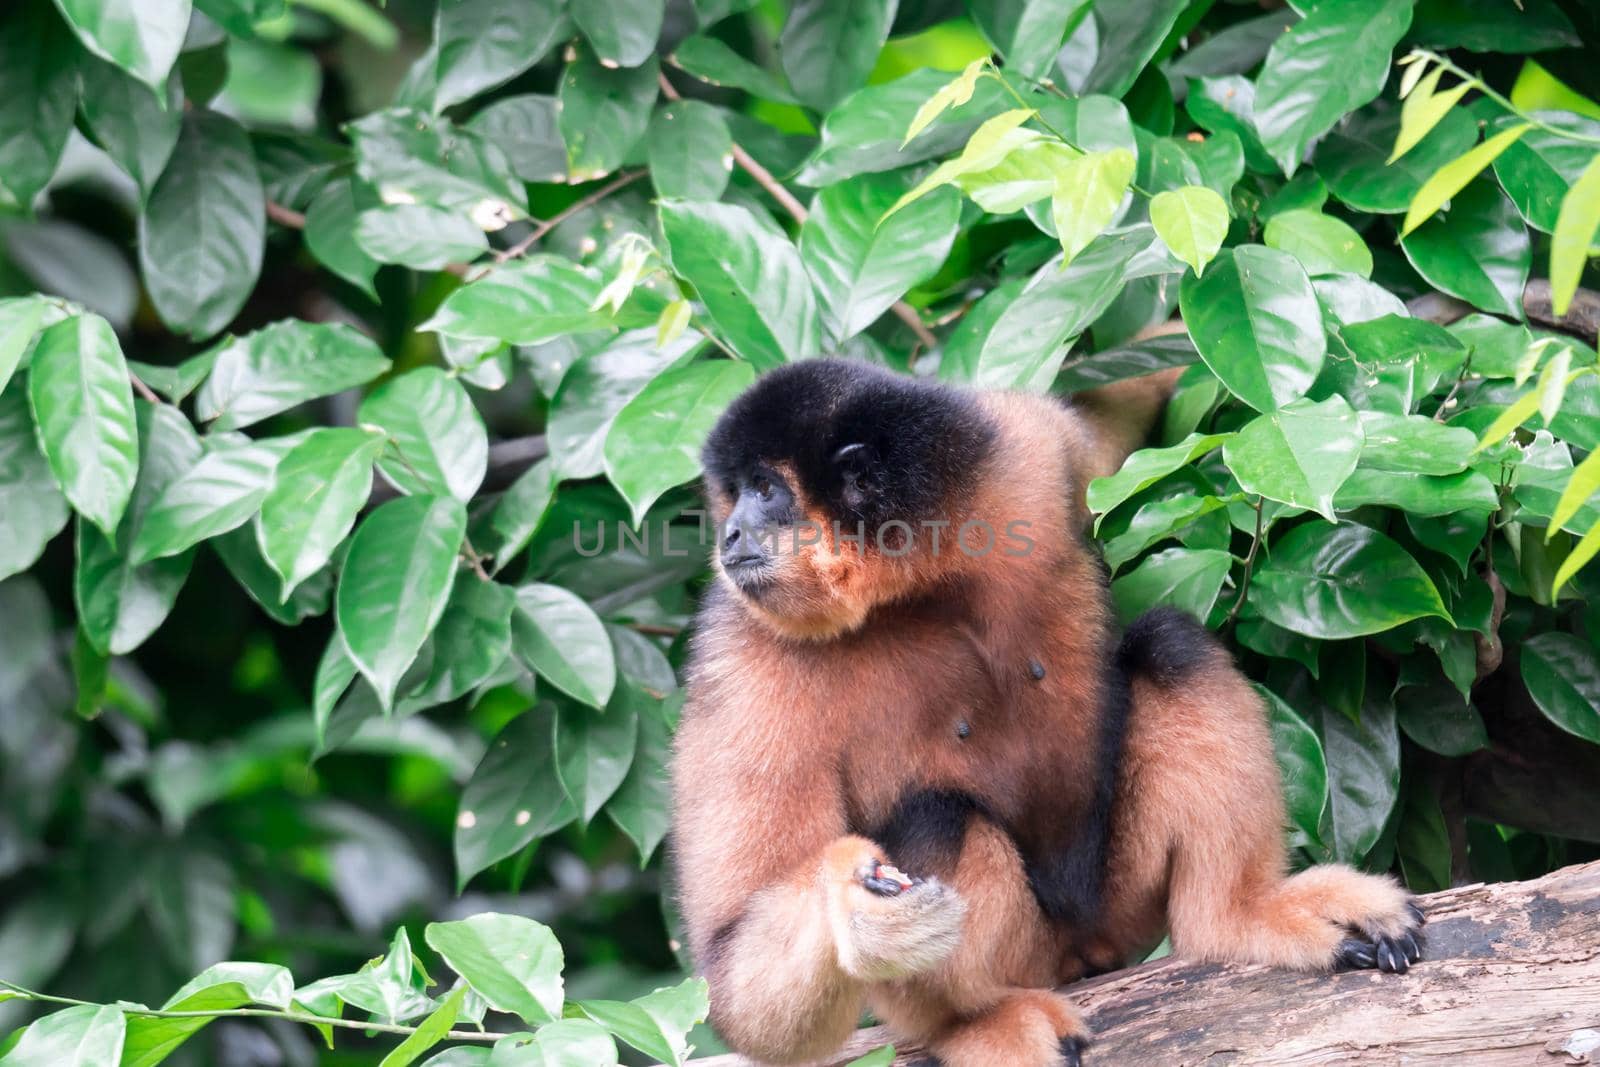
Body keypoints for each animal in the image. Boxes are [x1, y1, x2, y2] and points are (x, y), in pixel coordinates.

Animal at [668, 358, 1420, 1067]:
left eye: (764, 489)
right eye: (739, 493)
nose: (730, 531)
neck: (920, 582)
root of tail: (1083, 947)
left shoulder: (1016, 456)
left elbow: (1104, 437)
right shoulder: (744, 657)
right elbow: (735, 969)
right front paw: (851, 908)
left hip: (1116, 895)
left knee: (1170, 646)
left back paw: (1237, 916)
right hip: (1033, 954)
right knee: (935, 817)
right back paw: (973, 1021)